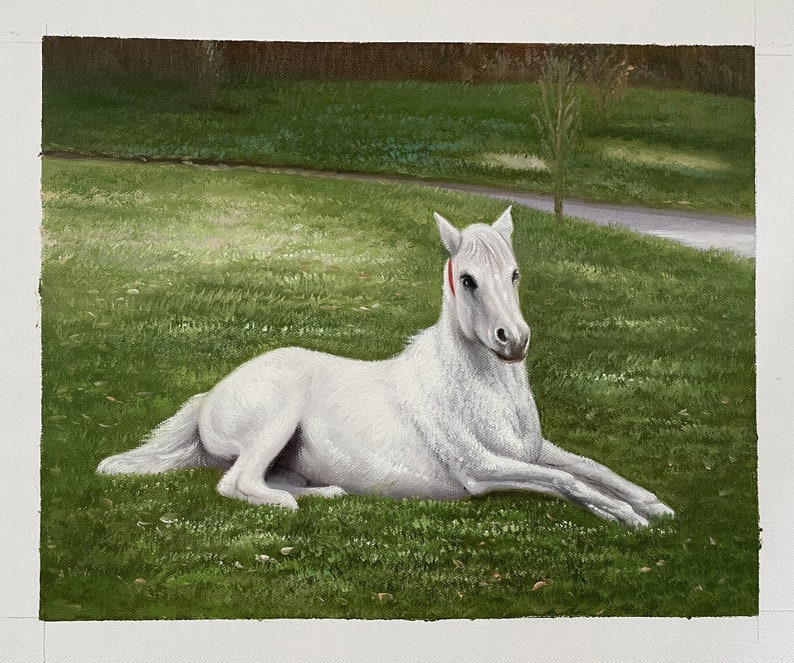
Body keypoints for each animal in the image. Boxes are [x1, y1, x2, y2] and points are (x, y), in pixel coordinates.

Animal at [97, 207, 674, 527]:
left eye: (514, 274)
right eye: (467, 280)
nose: (514, 342)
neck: (482, 393)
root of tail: (209, 399)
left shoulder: (530, 451)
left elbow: (589, 469)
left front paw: (653, 506)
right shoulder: (484, 470)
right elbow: (567, 481)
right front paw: (626, 516)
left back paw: (325, 492)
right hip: (273, 421)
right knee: (237, 482)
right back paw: (289, 505)